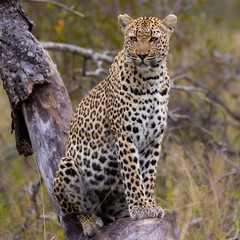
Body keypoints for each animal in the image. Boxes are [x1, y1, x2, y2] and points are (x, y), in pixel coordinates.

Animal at [53, 13, 176, 236]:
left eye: (153, 39)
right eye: (133, 38)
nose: (142, 55)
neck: (151, 80)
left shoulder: (154, 139)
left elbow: (149, 175)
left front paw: (150, 205)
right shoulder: (125, 136)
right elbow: (133, 175)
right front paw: (141, 208)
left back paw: (123, 212)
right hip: (67, 166)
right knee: (76, 209)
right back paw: (90, 222)